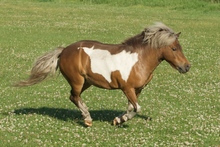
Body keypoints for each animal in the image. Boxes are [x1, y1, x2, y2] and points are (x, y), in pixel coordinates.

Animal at [15, 22, 191, 126]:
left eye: (180, 47)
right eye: (174, 48)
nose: (187, 67)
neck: (139, 60)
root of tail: (64, 51)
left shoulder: (137, 89)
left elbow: (131, 108)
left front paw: (118, 119)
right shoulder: (127, 88)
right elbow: (137, 108)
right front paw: (121, 119)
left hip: (87, 82)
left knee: (74, 97)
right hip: (77, 81)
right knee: (74, 97)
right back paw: (87, 119)